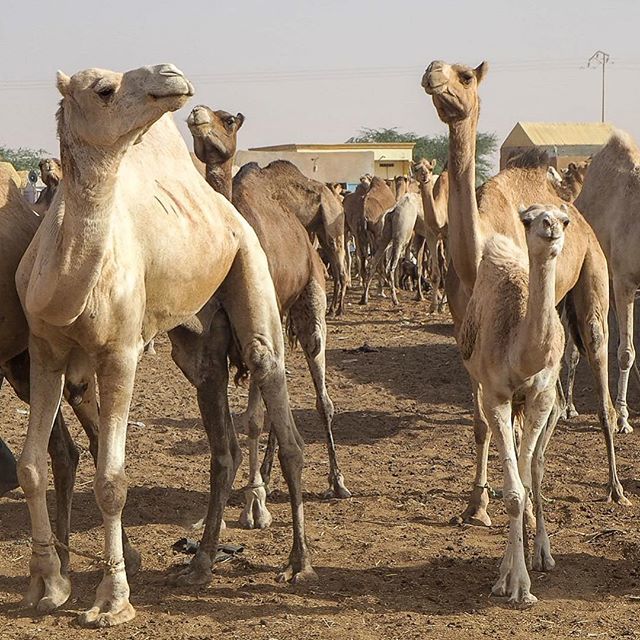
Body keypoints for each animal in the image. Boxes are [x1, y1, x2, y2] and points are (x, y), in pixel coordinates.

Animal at [16, 64, 313, 628]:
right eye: (104, 89)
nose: (171, 77)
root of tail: (228, 211)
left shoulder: (120, 354)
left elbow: (111, 480)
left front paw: (111, 601)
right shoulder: (43, 351)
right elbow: (30, 467)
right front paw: (48, 585)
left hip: (250, 262)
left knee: (278, 401)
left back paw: (299, 563)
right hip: (198, 346)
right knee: (223, 444)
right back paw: (200, 564)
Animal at [187, 104, 350, 527]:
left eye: (227, 120)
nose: (196, 113)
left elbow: (254, 420)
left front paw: (254, 506)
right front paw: (211, 516)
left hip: (311, 298)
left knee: (322, 394)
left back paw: (337, 482)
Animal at [421, 59, 627, 526]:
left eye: (465, 76)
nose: (432, 72)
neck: (476, 255)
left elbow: (512, 424)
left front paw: (517, 504)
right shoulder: (466, 328)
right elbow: (482, 421)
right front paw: (476, 504)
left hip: (595, 281)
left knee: (600, 382)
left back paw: (615, 488)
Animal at [461, 203, 568, 605]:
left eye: (565, 219)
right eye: (529, 218)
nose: (551, 226)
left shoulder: (541, 397)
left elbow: (523, 480)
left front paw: (517, 577)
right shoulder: (495, 395)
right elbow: (513, 493)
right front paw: (512, 582)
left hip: (546, 404)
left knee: (536, 465)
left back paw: (543, 554)